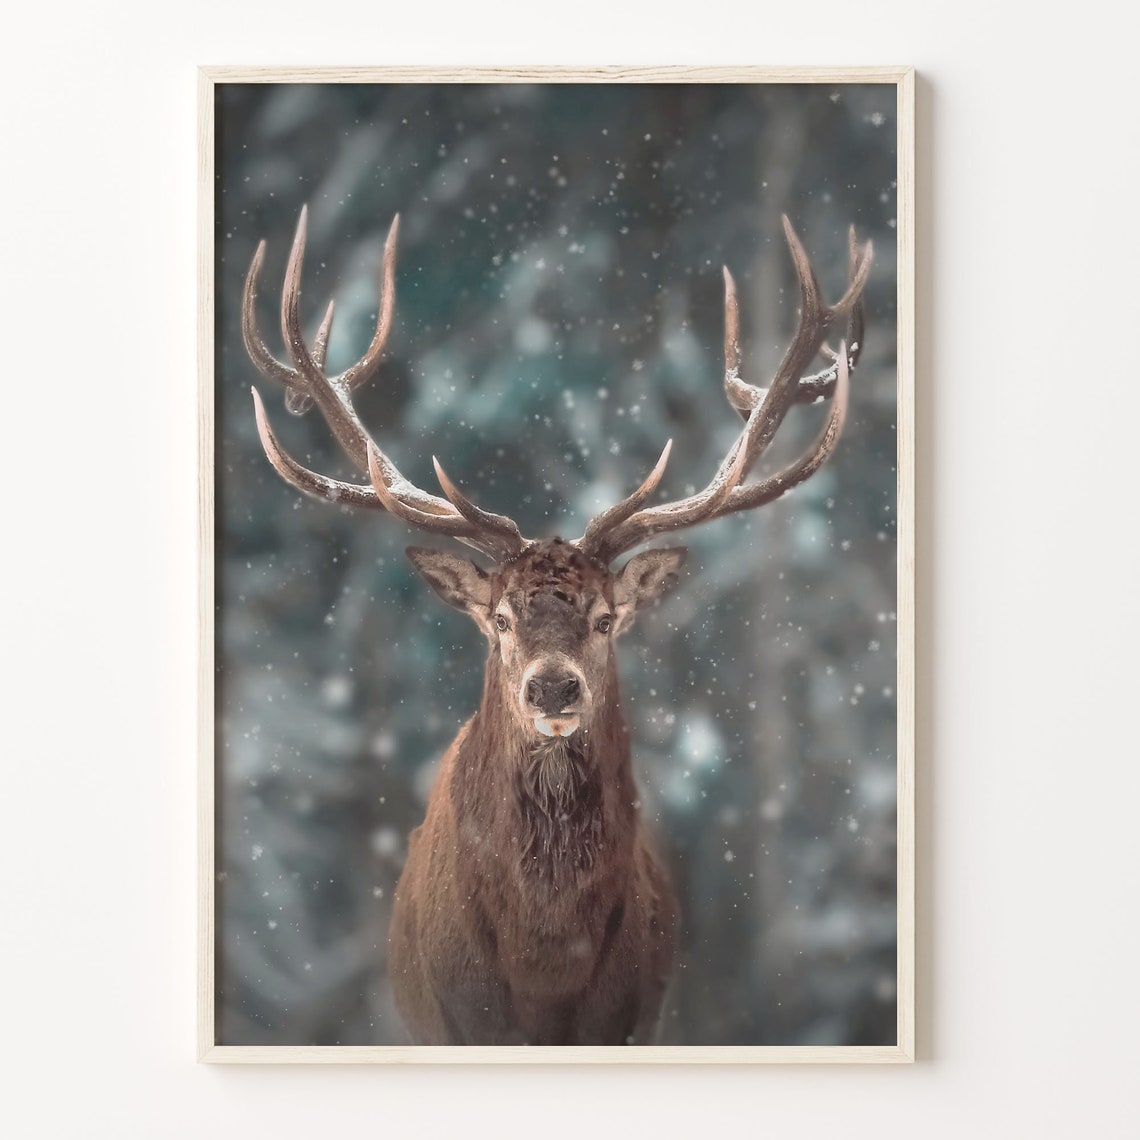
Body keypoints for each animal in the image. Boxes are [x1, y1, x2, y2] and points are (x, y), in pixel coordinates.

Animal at [240, 205, 872, 1046]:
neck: (544, 971)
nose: (551, 689)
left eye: (606, 619)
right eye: (500, 619)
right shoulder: (455, 1023)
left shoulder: (635, 1020)